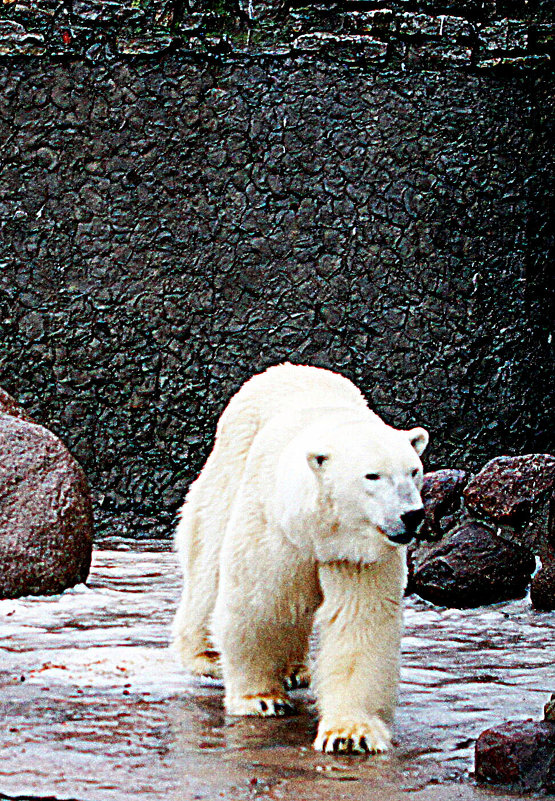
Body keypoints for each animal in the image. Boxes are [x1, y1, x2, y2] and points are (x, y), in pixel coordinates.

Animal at [172, 366, 428, 752]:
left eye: (414, 470)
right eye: (372, 475)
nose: (412, 515)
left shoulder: (358, 555)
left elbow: (359, 621)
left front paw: (350, 734)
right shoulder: (272, 523)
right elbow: (259, 603)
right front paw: (261, 699)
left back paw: (296, 669)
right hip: (229, 467)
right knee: (208, 561)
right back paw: (206, 656)